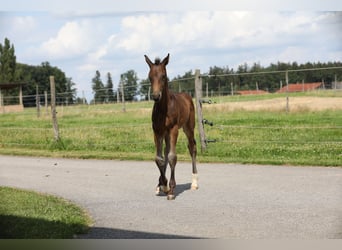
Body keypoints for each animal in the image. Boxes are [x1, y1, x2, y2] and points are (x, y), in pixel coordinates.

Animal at [144, 53, 198, 200]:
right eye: (150, 77)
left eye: (163, 76)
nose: (156, 96)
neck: (164, 109)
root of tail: (186, 95)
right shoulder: (157, 131)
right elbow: (159, 158)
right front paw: (163, 185)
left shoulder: (173, 130)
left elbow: (172, 157)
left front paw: (171, 189)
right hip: (166, 133)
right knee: (166, 152)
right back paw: (160, 184)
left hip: (188, 127)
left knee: (192, 148)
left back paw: (194, 182)